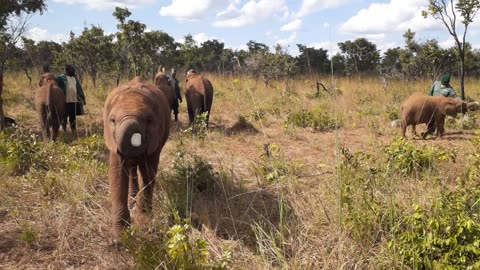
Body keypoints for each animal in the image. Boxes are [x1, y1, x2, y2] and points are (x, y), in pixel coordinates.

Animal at [103, 77, 171, 242]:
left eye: (149, 120)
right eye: (112, 120)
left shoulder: (155, 139)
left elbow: (148, 172)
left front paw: (144, 221)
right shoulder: (113, 141)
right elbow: (117, 173)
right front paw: (121, 237)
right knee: (132, 169)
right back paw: (132, 197)